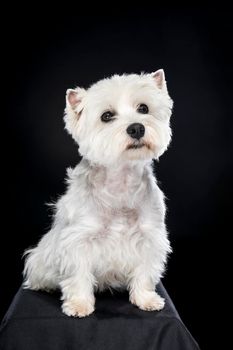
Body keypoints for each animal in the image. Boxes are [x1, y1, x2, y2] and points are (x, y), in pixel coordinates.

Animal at [23, 70, 173, 318]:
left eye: (143, 108)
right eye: (107, 116)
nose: (136, 128)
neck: (121, 181)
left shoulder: (149, 237)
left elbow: (144, 272)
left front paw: (146, 299)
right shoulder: (78, 240)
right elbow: (79, 275)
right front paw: (79, 305)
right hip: (41, 259)